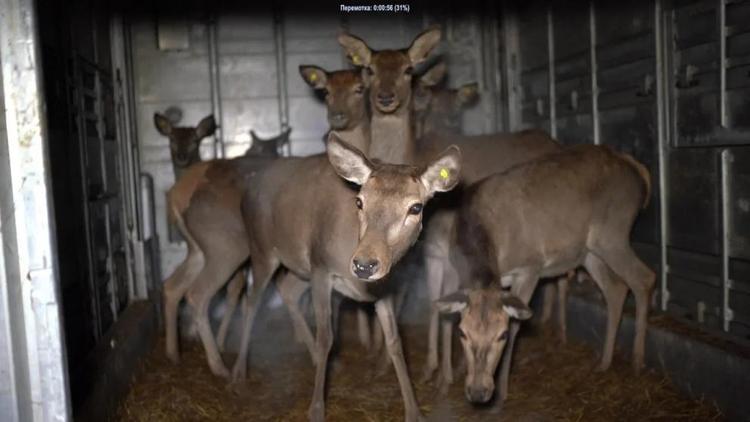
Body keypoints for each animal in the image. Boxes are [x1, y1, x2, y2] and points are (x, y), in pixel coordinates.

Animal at [232, 134, 462, 422]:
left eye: (416, 207)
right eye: (360, 201)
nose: (364, 264)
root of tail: (247, 188)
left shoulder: (383, 287)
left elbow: (395, 341)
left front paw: (414, 411)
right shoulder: (320, 266)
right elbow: (326, 337)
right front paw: (316, 409)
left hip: (298, 267)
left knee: (287, 288)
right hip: (262, 249)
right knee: (252, 302)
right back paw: (239, 374)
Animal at [434, 145, 656, 406]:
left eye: (502, 335)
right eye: (463, 333)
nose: (479, 392)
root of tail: (638, 170)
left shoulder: (530, 267)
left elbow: (518, 323)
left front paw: (502, 393)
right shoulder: (459, 273)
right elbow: (446, 319)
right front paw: (446, 380)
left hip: (614, 232)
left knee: (644, 278)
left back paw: (637, 362)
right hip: (589, 252)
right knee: (616, 288)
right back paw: (604, 362)